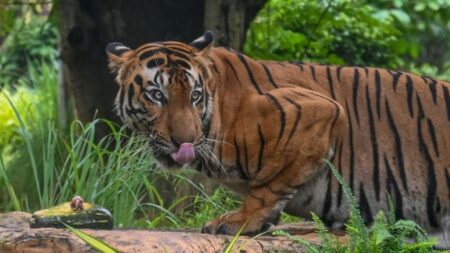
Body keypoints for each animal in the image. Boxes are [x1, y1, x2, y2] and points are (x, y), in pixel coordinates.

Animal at [106, 31, 450, 247]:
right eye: (157, 95)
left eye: (194, 96)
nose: (185, 142)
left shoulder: (319, 110)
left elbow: (269, 184)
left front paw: (241, 221)